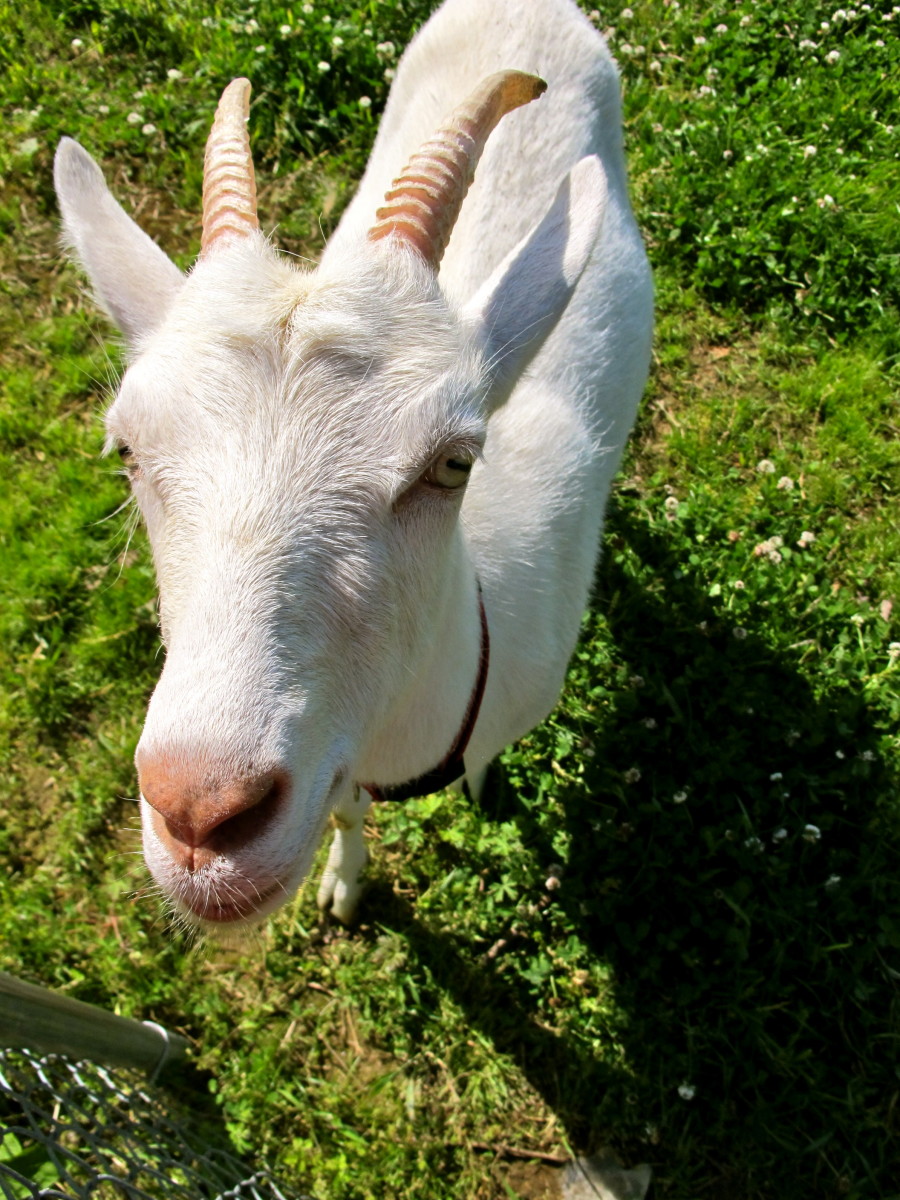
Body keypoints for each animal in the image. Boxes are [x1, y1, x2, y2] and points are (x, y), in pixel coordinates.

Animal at [53, 0, 653, 931]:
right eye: (129, 450)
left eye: (453, 462)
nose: (199, 813)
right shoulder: (333, 768)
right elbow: (341, 810)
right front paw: (345, 881)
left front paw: (482, 789)